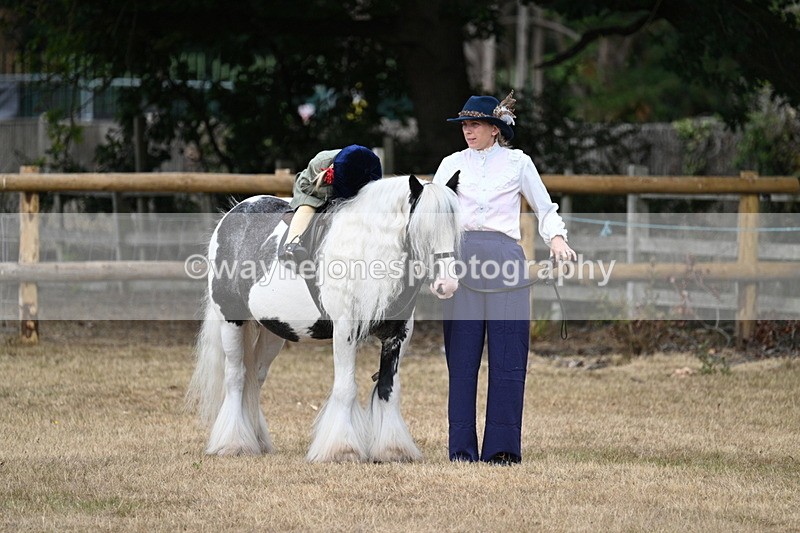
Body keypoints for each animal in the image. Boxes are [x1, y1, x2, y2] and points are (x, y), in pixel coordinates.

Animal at [186, 173, 461, 462]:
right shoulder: (345, 331)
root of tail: (233, 214)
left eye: (454, 228)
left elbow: (388, 389)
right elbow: (345, 388)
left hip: (272, 332)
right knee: (236, 378)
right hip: (231, 321)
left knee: (255, 378)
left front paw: (393, 450)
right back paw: (233, 444)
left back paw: (257, 440)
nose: (447, 285)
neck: (367, 253)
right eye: (423, 229)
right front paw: (342, 449)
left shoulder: (398, 336)